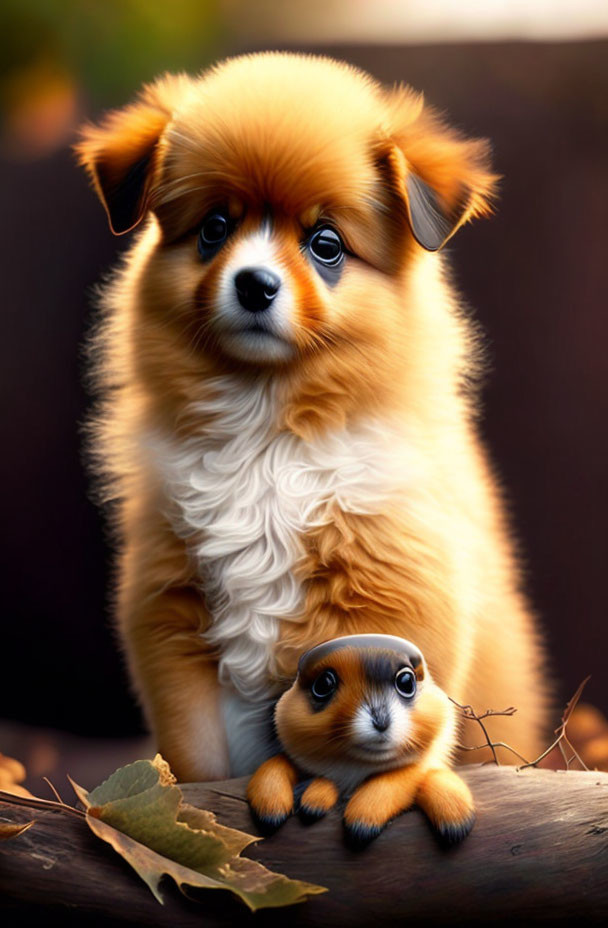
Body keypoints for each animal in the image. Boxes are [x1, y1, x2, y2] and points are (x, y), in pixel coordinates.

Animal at [77, 49, 552, 776]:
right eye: (214, 228)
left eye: (325, 244)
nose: (254, 284)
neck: (267, 427)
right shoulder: (172, 621)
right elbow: (199, 762)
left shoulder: (390, 596)